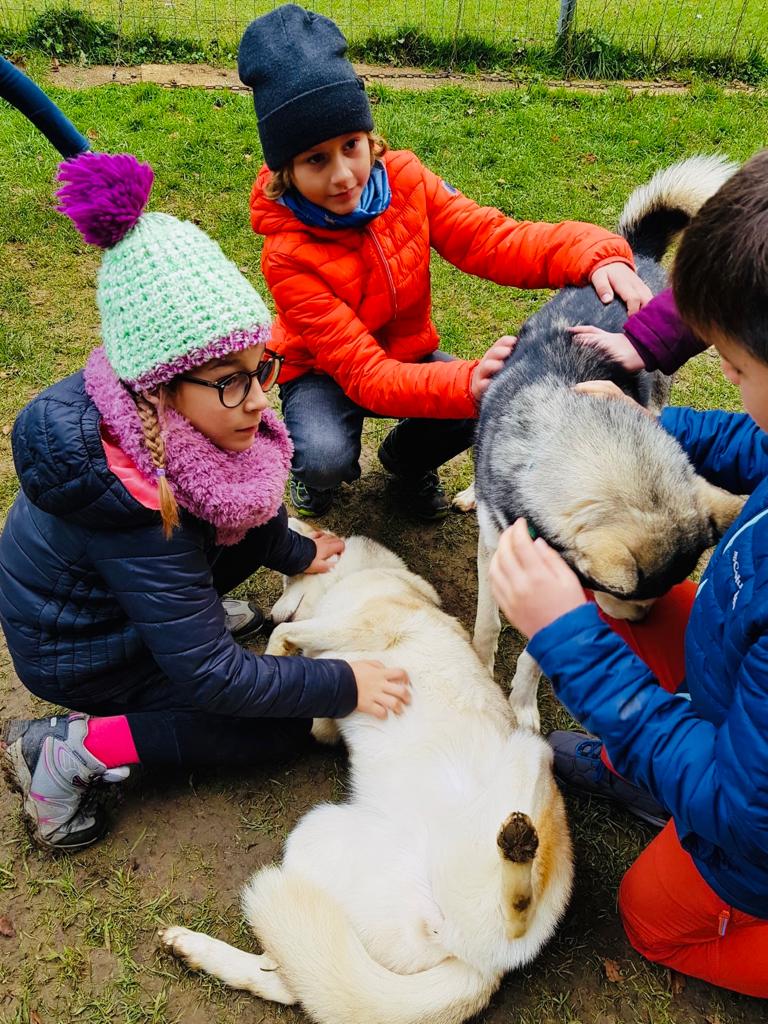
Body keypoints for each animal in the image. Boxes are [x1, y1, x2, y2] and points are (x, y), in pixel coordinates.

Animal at [160, 532, 573, 1024]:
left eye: (288, 577)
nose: (270, 613)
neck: (373, 575)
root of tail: (479, 969)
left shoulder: (356, 626)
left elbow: (288, 637)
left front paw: (275, 656)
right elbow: (315, 707)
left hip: (532, 756)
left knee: (515, 915)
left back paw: (517, 851)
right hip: (316, 841)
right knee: (292, 982)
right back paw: (193, 949)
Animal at [466, 155, 749, 716]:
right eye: (630, 596)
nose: (640, 623)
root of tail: (636, 253)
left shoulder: (556, 582)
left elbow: (539, 650)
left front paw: (523, 705)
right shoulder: (494, 547)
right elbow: (487, 623)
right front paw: (482, 670)